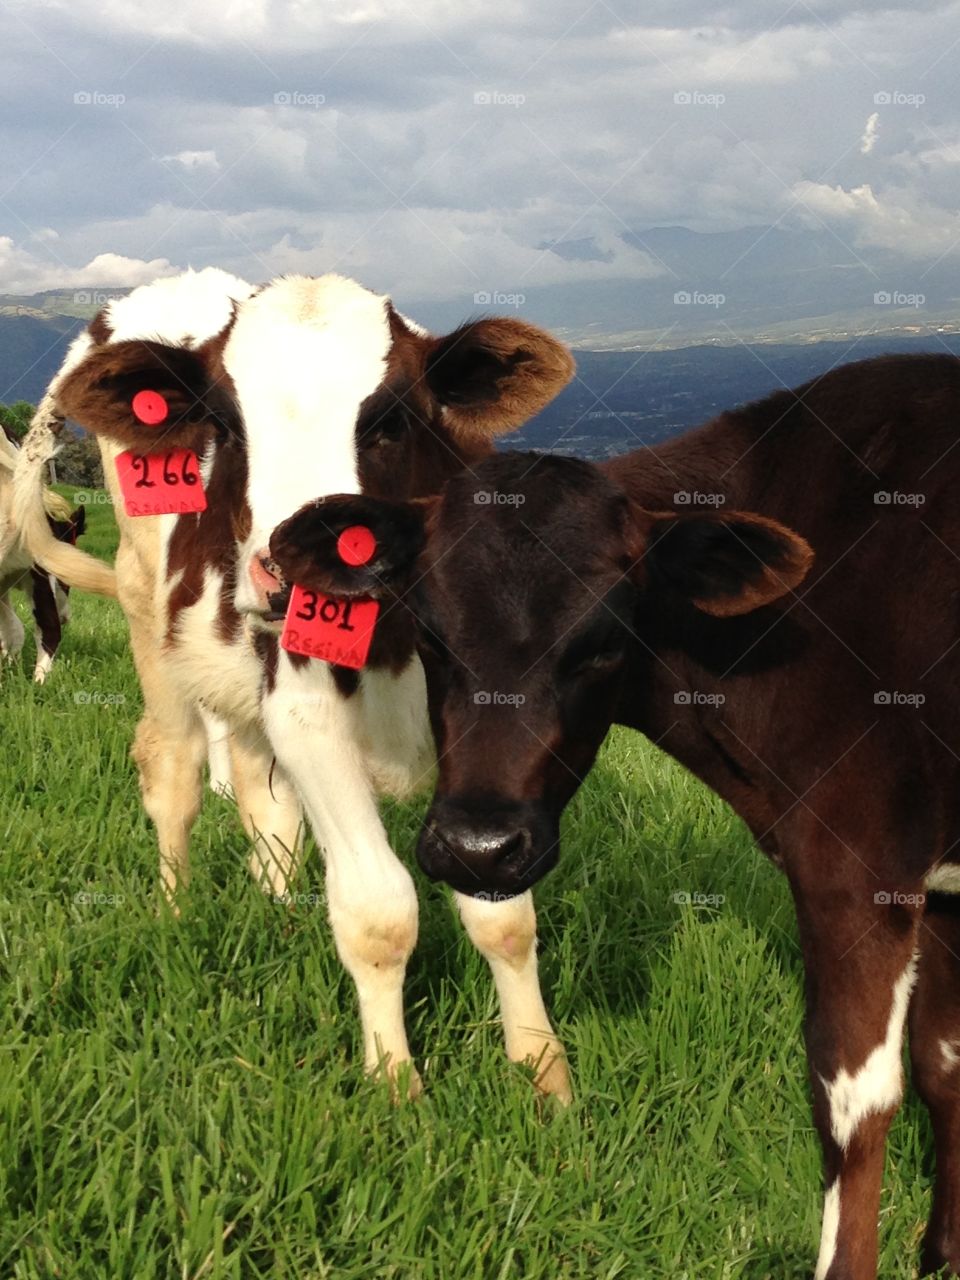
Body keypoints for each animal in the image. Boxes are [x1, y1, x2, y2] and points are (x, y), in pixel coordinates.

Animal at [14, 267, 575, 1100]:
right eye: (224, 424)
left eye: (392, 417)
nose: (287, 567)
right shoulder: (307, 710)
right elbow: (379, 911)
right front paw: (395, 1083)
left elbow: (502, 910)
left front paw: (544, 1074)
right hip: (150, 614)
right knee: (173, 773)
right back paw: (176, 910)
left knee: (259, 795)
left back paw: (275, 907)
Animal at [267, 352, 960, 1278]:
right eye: (432, 635)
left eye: (601, 642)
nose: (478, 847)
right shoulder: (943, 881)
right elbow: (945, 1059)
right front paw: (945, 1252)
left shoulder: (856, 861)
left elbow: (853, 1100)